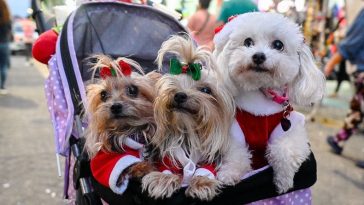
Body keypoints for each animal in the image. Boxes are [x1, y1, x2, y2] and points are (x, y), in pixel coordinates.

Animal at [85, 55, 161, 195]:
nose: (115, 106)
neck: (130, 130)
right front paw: (142, 168)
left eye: (132, 90)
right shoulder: (104, 159)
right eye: (103, 94)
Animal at [141, 35, 252, 200]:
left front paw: (202, 183)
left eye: (206, 90)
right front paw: (163, 180)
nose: (179, 95)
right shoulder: (167, 156)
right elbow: (164, 168)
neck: (189, 132)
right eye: (172, 85)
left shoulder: (209, 157)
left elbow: (206, 170)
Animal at [212, 12, 326, 193]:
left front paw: (284, 181)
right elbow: (236, 153)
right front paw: (229, 174)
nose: (258, 56)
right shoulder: (235, 131)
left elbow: (285, 151)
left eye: (278, 45)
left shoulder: (289, 130)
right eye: (248, 42)